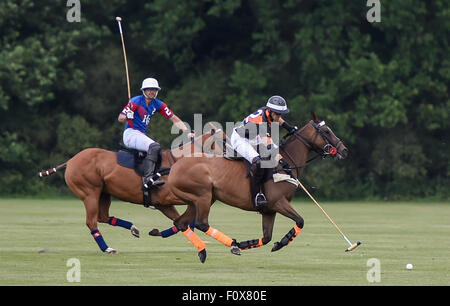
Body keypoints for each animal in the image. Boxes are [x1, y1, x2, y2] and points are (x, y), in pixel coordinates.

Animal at [36, 133, 216, 255]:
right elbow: (184, 218)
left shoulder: (163, 204)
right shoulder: (166, 199)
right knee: (92, 222)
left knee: (103, 217)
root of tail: (70, 161)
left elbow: (179, 221)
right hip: (89, 193)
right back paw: (107, 248)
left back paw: (133, 228)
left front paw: (158, 233)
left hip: (104, 194)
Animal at [165, 113, 348, 262]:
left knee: (181, 222)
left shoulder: (269, 210)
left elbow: (267, 237)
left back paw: (204, 250)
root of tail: (174, 168)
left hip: (199, 200)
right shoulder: (278, 202)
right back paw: (231, 244)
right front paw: (281, 242)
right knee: (201, 223)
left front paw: (250, 243)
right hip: (203, 196)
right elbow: (300, 221)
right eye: (326, 131)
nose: (344, 150)